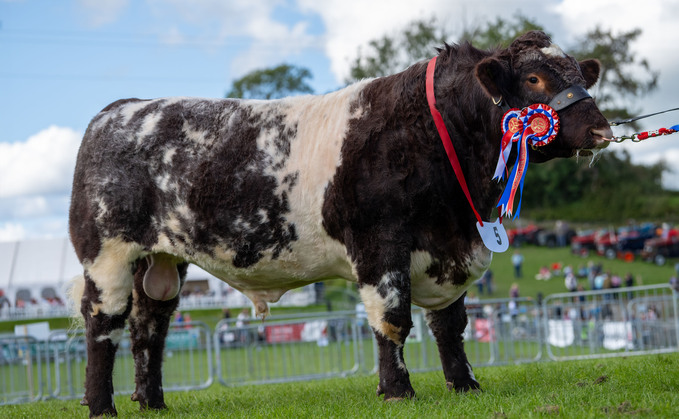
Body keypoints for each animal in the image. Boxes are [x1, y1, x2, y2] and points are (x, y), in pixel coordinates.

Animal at [71, 31, 612, 418]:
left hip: (162, 258)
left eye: (580, 77)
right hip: (107, 254)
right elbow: (393, 319)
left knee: (149, 327)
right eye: (535, 80)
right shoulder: (380, 243)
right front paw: (397, 391)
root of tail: (118, 111)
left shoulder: (451, 247)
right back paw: (102, 407)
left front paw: (465, 386)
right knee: (103, 324)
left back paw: (152, 402)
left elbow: (450, 325)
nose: (602, 129)